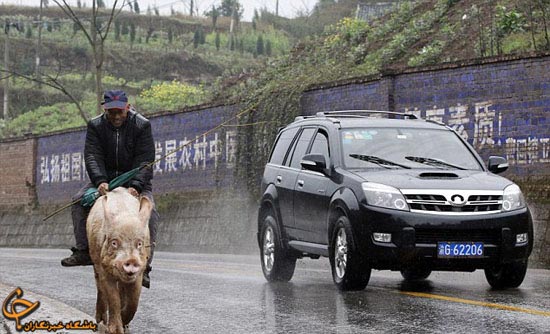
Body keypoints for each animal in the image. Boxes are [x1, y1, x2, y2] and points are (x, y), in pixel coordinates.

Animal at [87, 188, 154, 334]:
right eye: (114, 243)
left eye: (139, 243)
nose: (131, 260)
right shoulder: (103, 267)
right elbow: (113, 298)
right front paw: (114, 330)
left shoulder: (139, 272)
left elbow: (133, 301)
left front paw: (124, 325)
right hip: (94, 260)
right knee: (100, 288)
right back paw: (100, 322)